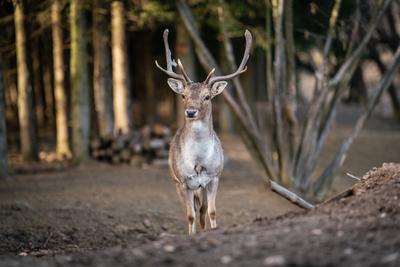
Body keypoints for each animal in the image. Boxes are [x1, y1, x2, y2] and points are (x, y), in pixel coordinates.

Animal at [155, 28, 252, 234]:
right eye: (183, 95)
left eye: (207, 96)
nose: (191, 111)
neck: (199, 161)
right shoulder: (184, 182)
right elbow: (189, 215)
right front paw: (192, 235)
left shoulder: (215, 177)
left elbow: (212, 211)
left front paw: (213, 230)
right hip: (177, 182)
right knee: (194, 210)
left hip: (202, 186)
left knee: (203, 209)